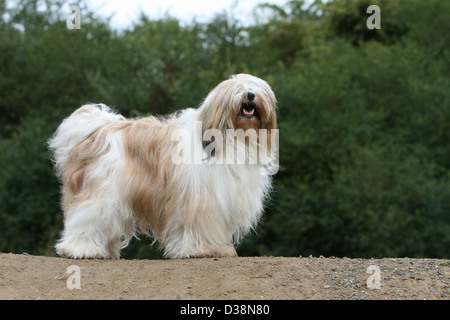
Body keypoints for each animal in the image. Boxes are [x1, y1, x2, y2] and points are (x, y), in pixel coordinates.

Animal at [47, 74, 276, 258]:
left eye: (256, 88)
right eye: (236, 91)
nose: (250, 94)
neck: (235, 140)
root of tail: (98, 131)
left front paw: (218, 249)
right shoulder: (198, 200)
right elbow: (196, 225)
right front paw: (197, 249)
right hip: (100, 193)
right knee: (87, 218)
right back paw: (82, 249)